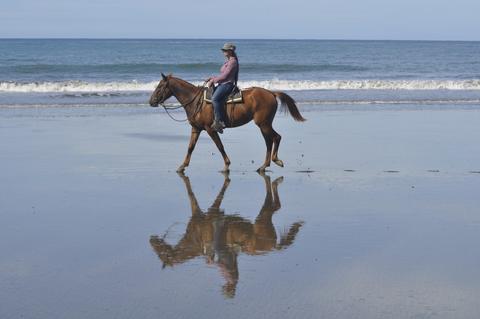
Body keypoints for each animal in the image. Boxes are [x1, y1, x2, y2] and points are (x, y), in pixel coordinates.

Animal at [148, 73, 306, 172]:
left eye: (160, 86)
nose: (151, 101)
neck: (196, 101)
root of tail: (272, 93)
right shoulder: (196, 129)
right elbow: (190, 147)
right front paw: (182, 166)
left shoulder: (210, 129)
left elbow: (219, 146)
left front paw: (227, 165)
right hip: (263, 125)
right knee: (269, 141)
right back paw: (264, 165)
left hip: (264, 124)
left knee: (275, 137)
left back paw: (275, 160)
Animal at [149, 174, 304, 298]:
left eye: (160, 253)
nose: (151, 240)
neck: (196, 238)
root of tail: (272, 246)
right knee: (274, 205)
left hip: (262, 219)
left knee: (275, 205)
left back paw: (276, 180)